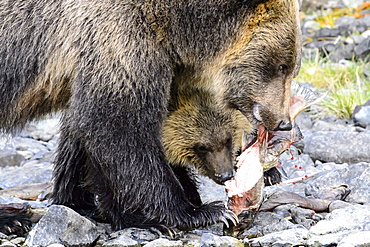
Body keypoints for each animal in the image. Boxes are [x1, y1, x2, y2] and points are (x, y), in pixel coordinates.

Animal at [0, 0, 300, 231]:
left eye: (292, 66)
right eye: (280, 65)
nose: (284, 122)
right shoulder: (119, 37)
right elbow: (118, 127)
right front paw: (195, 211)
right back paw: (12, 219)